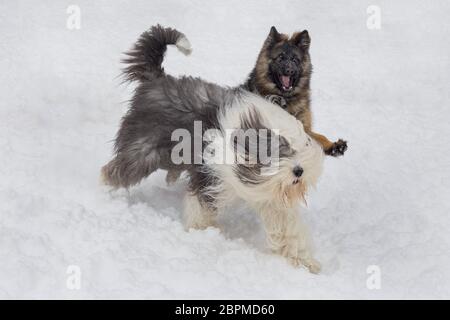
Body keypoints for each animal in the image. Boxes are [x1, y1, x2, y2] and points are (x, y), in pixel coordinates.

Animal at [103, 25, 324, 272]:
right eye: (279, 149)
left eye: (299, 148)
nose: (298, 172)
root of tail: (157, 79)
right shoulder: (209, 175)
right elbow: (201, 206)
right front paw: (201, 232)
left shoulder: (268, 192)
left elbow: (287, 227)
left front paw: (305, 261)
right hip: (143, 151)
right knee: (114, 171)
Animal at [244, 26, 346, 156]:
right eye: (280, 57)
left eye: (295, 59)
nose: (289, 70)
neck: (286, 99)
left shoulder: (304, 127)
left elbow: (319, 136)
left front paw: (333, 145)